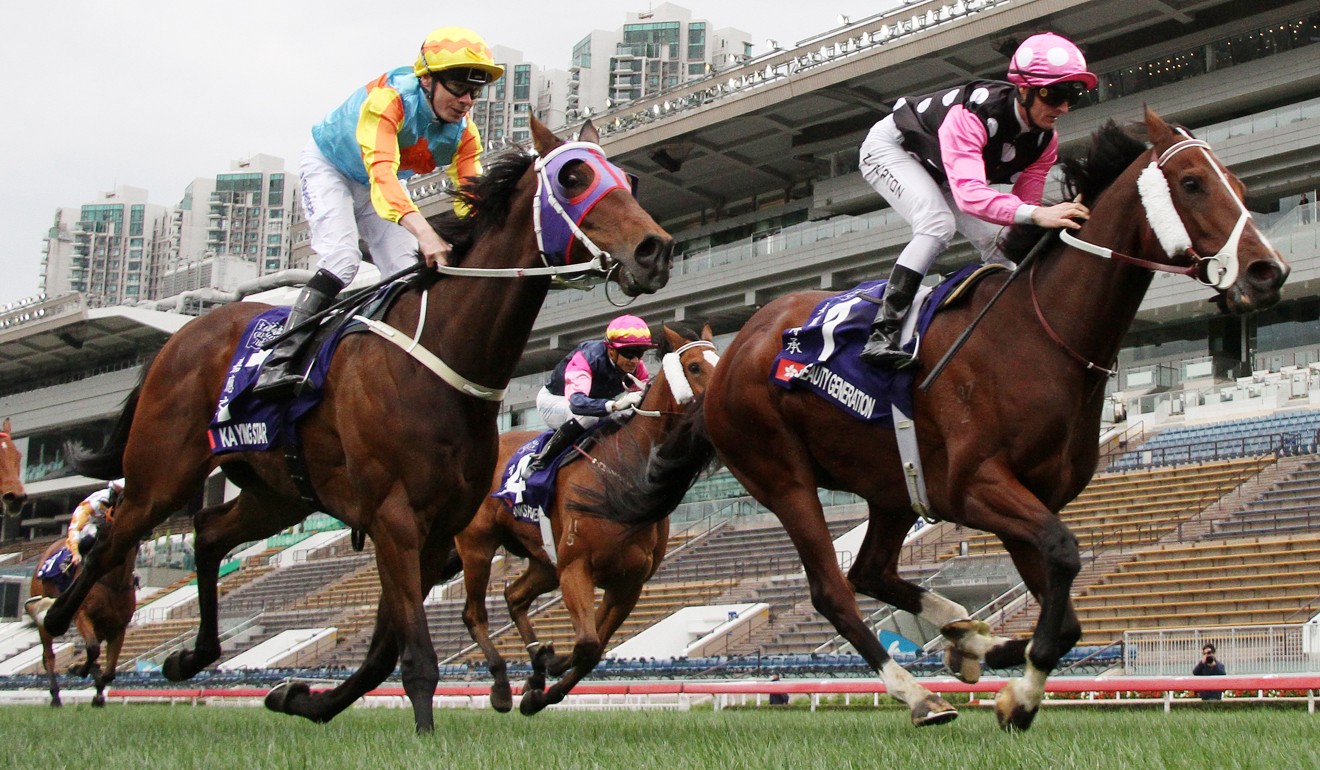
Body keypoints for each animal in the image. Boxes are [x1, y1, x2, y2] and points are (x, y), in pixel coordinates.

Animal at [27, 507, 135, 713]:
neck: (114, 583)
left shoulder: (118, 627)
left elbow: (109, 671)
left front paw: (98, 694)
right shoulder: (82, 615)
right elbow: (92, 649)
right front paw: (78, 669)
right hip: (46, 620)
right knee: (49, 657)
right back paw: (55, 697)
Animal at [47, 117, 675, 734]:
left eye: (628, 180)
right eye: (573, 176)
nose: (656, 250)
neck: (443, 352)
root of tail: (179, 337)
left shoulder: (438, 528)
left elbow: (381, 651)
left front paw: (300, 699)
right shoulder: (393, 516)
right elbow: (414, 652)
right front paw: (424, 732)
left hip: (276, 494)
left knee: (206, 530)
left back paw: (190, 655)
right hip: (162, 474)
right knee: (111, 538)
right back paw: (56, 619)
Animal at [438, 322, 718, 713]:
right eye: (694, 366)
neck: (622, 474)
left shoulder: (629, 583)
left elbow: (593, 649)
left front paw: (541, 685)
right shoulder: (576, 567)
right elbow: (586, 642)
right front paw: (543, 672)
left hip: (543, 559)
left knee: (514, 596)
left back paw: (536, 659)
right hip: (477, 546)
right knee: (474, 613)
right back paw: (501, 686)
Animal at [607, 111, 1288, 734]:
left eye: (1239, 185)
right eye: (1193, 182)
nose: (1268, 271)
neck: (1040, 334)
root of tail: (728, 358)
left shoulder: (1028, 496)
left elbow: (1064, 605)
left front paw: (1003, 665)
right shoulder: (974, 485)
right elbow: (1065, 558)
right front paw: (1020, 696)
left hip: (890, 485)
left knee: (870, 570)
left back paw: (964, 636)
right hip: (782, 476)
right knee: (834, 590)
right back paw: (918, 694)